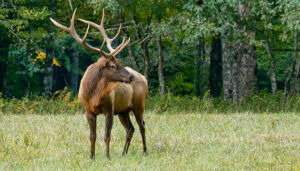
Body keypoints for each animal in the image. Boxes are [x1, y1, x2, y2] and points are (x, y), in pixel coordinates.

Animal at [50, 9, 148, 158]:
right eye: (113, 66)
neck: (93, 95)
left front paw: (107, 156)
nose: (131, 77)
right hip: (123, 110)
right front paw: (92, 157)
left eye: (119, 62)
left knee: (142, 125)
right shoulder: (88, 110)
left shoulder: (110, 109)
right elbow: (92, 136)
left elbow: (107, 136)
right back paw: (124, 153)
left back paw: (145, 151)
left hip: (138, 104)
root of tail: (144, 77)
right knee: (130, 128)